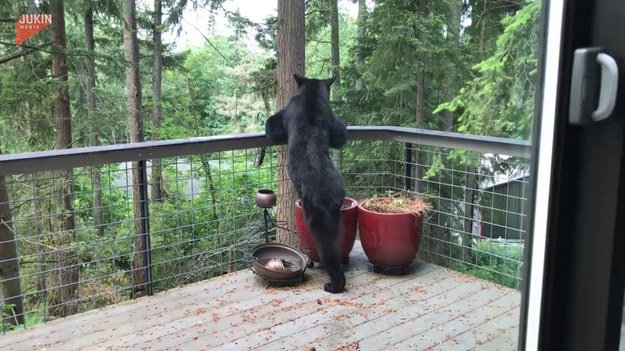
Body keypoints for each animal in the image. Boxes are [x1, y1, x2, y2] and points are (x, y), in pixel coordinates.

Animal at [264, 74, 346, 294]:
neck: (311, 97)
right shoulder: (330, 120)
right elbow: (340, 135)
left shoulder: (287, 112)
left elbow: (272, 125)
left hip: (317, 218)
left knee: (328, 251)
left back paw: (333, 284)